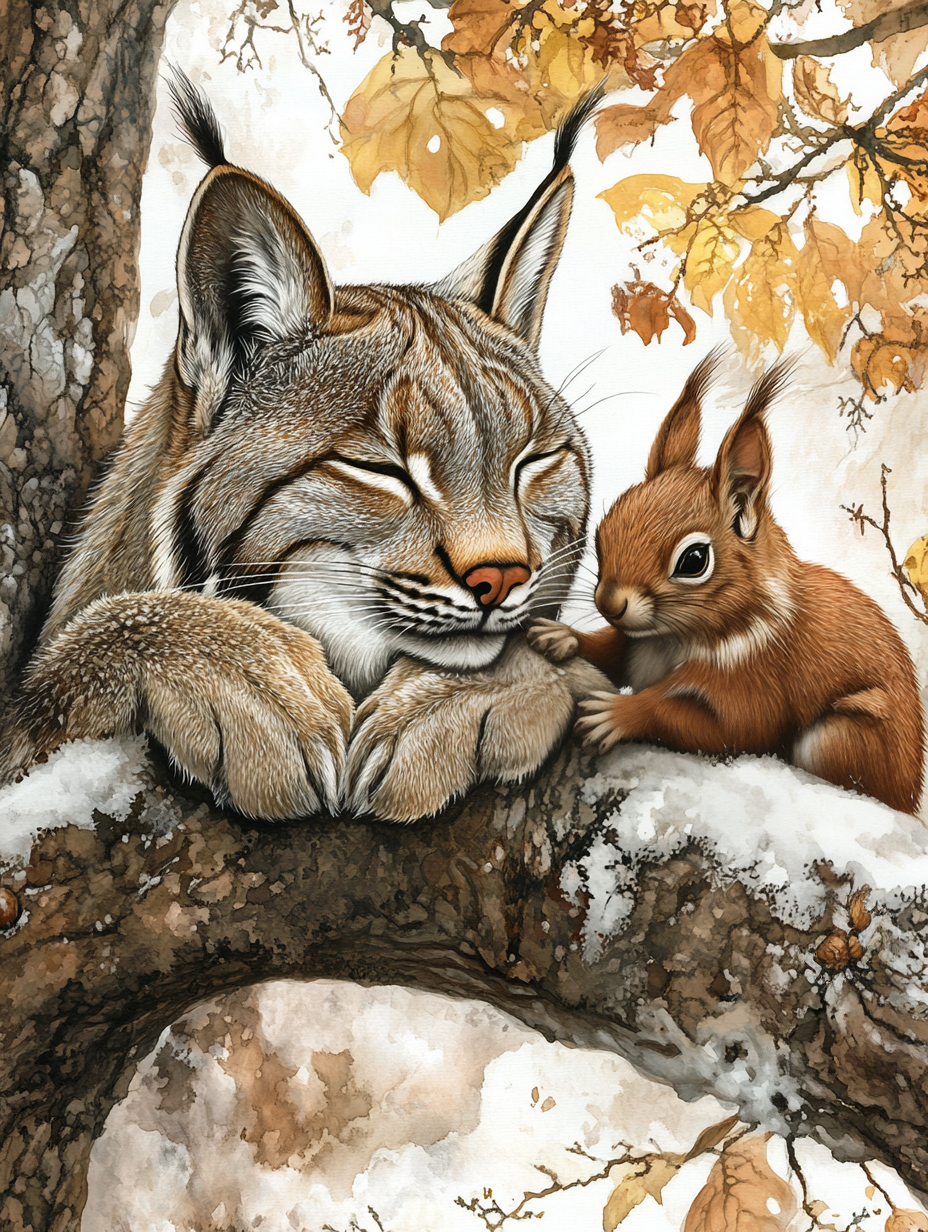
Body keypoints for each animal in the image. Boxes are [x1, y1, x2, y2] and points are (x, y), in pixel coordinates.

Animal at [528, 352, 925, 815]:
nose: (610, 604)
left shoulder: (753, 688)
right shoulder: (635, 648)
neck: (676, 638)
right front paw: (562, 636)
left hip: (840, 738)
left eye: (694, 560)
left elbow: (711, 725)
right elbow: (609, 650)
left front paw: (616, 713)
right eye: (602, 532)